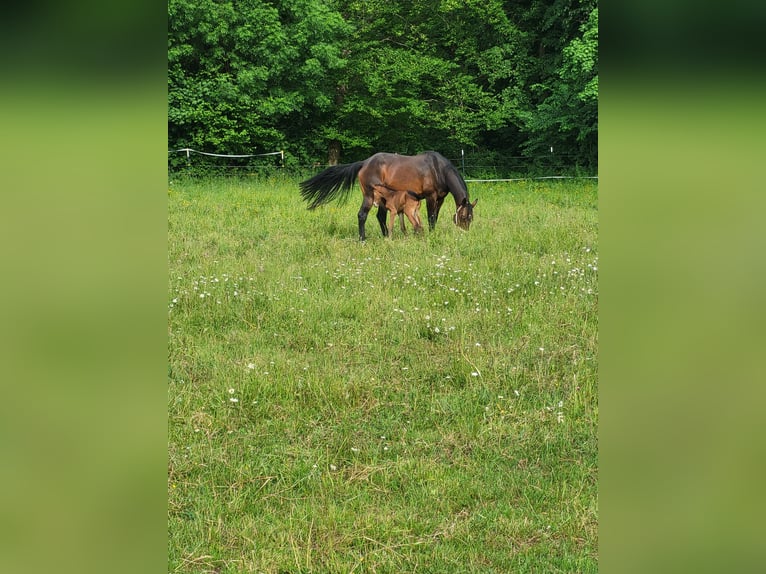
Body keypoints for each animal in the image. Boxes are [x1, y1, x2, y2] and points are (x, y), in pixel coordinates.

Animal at [299, 151, 477, 241]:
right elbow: (431, 218)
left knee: (380, 217)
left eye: (471, 218)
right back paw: (363, 239)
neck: (437, 169)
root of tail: (364, 163)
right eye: (463, 217)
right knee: (362, 215)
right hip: (370, 197)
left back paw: (385, 236)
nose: (465, 235)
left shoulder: (440, 199)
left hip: (382, 200)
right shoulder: (430, 197)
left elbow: (435, 218)